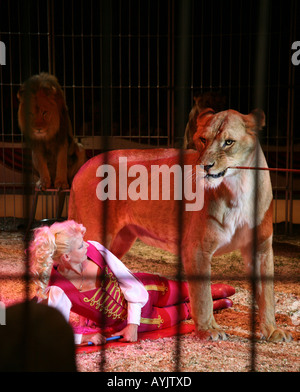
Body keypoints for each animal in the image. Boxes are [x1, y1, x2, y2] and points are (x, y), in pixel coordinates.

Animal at [67, 108, 290, 342]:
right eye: (203, 139)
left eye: (228, 142)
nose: (205, 165)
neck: (239, 186)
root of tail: (83, 168)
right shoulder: (197, 249)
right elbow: (202, 295)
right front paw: (208, 330)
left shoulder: (261, 249)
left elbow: (267, 294)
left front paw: (272, 330)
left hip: (121, 239)